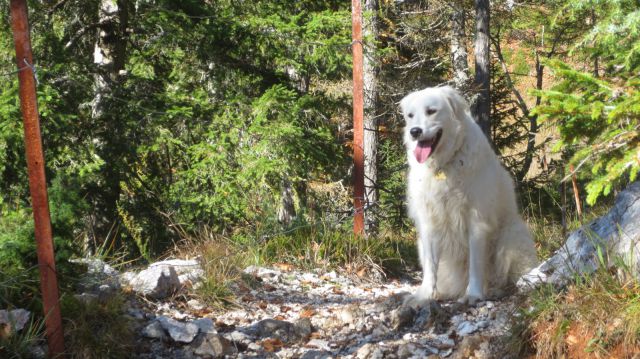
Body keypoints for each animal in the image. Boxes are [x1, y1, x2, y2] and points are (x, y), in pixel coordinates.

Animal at [402, 86, 536, 304]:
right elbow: (431, 266)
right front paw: (425, 295)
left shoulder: (477, 219)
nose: (415, 132)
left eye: (431, 111)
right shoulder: (429, 221)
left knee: (507, 276)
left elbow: (475, 263)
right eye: (410, 116)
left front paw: (473, 294)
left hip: (511, 234)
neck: (444, 164)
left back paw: (496, 290)